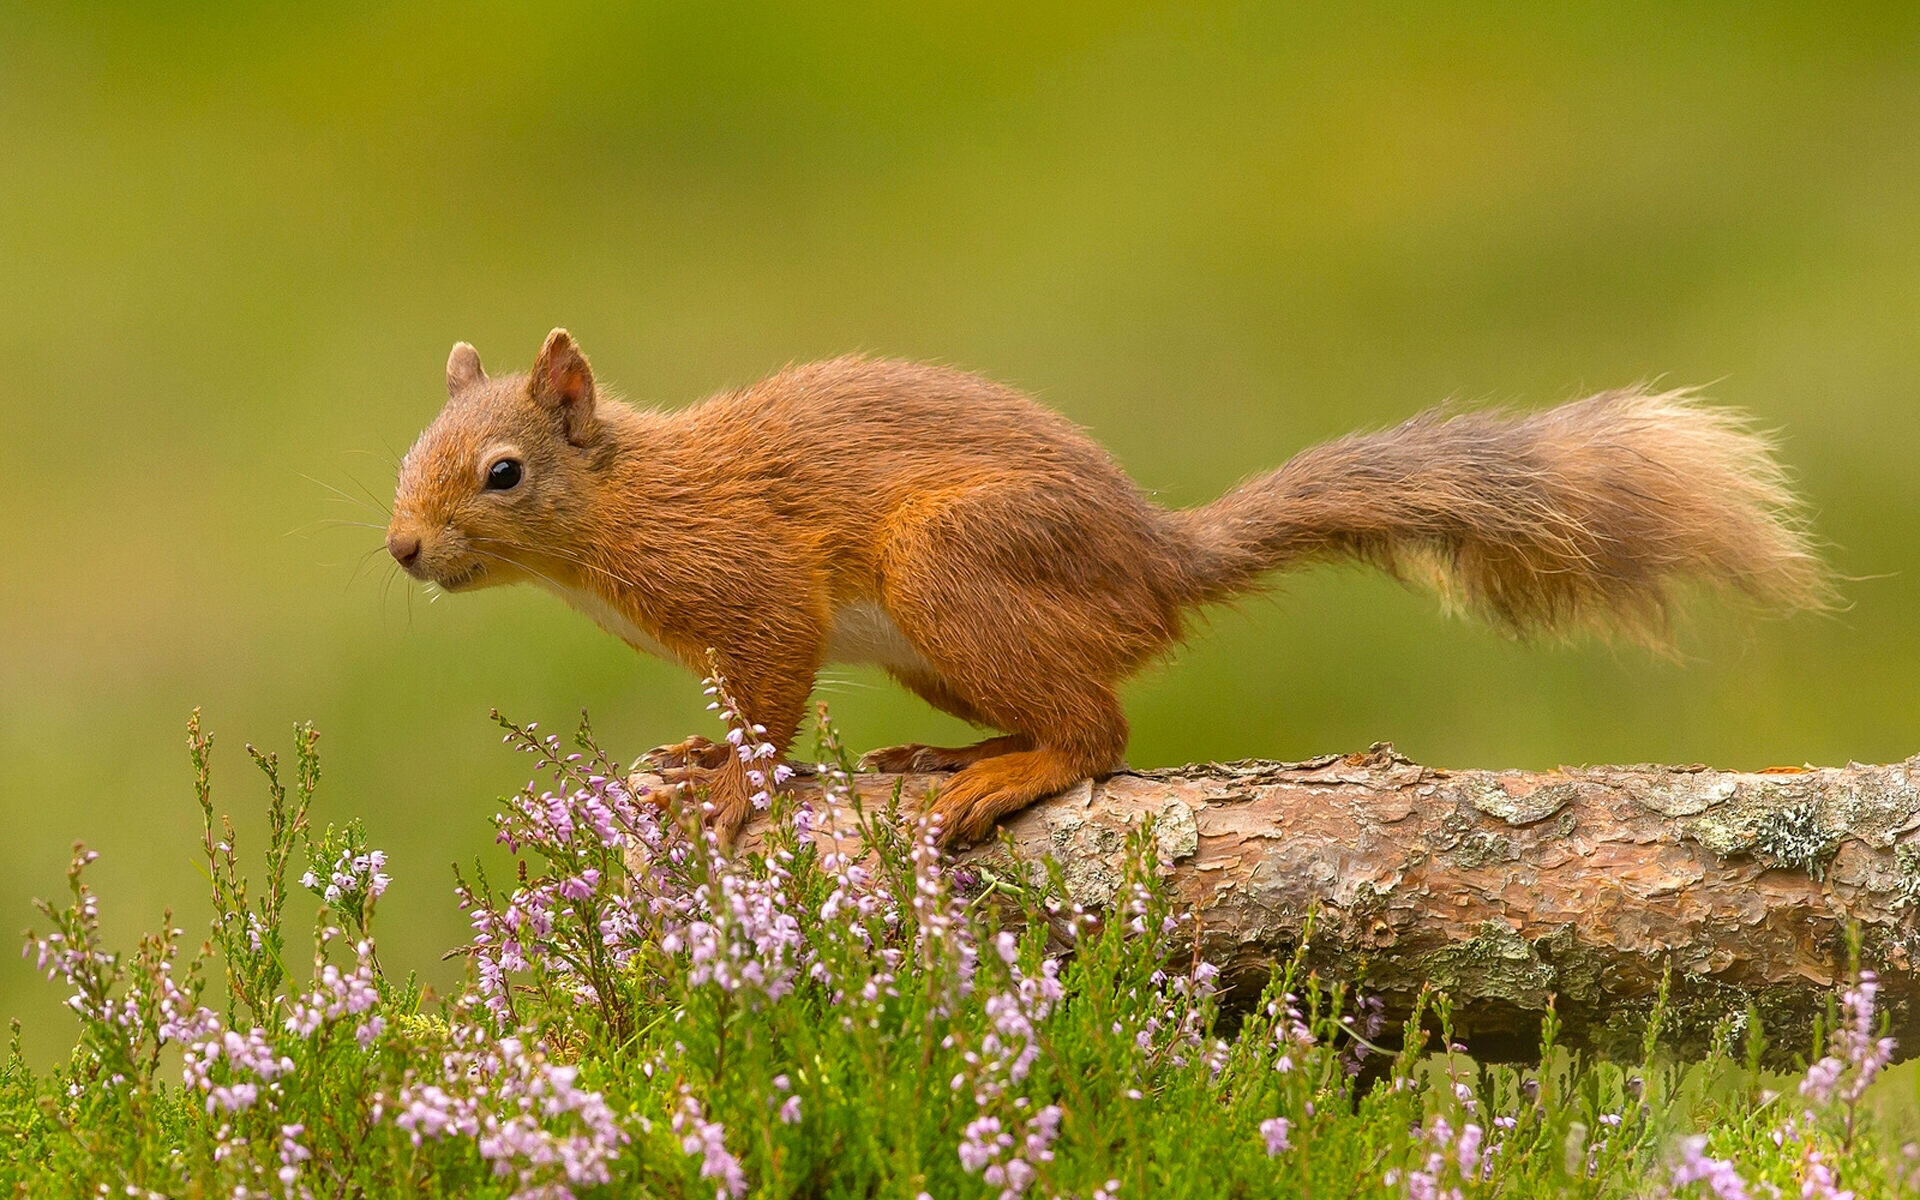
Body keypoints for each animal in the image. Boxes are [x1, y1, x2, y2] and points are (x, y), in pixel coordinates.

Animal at [385, 328, 1827, 840]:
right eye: (409, 455)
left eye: (503, 473)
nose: (402, 550)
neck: (625, 506)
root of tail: (1155, 562)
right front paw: (693, 758)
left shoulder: (753, 589)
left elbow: (772, 699)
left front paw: (734, 788)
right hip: (940, 643)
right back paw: (947, 757)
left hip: (950, 567)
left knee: (1100, 733)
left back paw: (1000, 777)